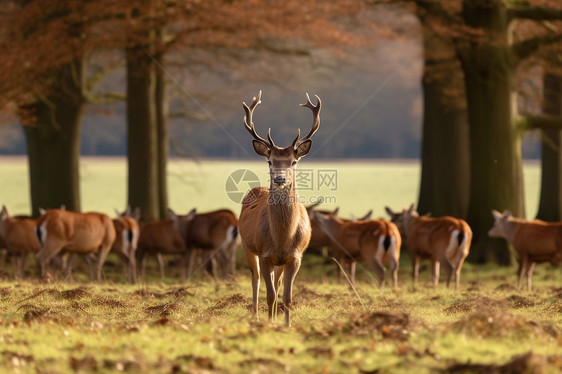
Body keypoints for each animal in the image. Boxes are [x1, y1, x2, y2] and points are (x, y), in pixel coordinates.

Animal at [236, 90, 320, 328]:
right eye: (270, 161)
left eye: (293, 162)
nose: (280, 178)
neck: (282, 238)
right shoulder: (265, 254)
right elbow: (271, 295)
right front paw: (269, 323)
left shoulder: (295, 257)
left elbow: (287, 296)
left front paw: (286, 325)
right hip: (247, 246)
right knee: (255, 281)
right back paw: (256, 316)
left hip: (278, 262)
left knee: (277, 283)